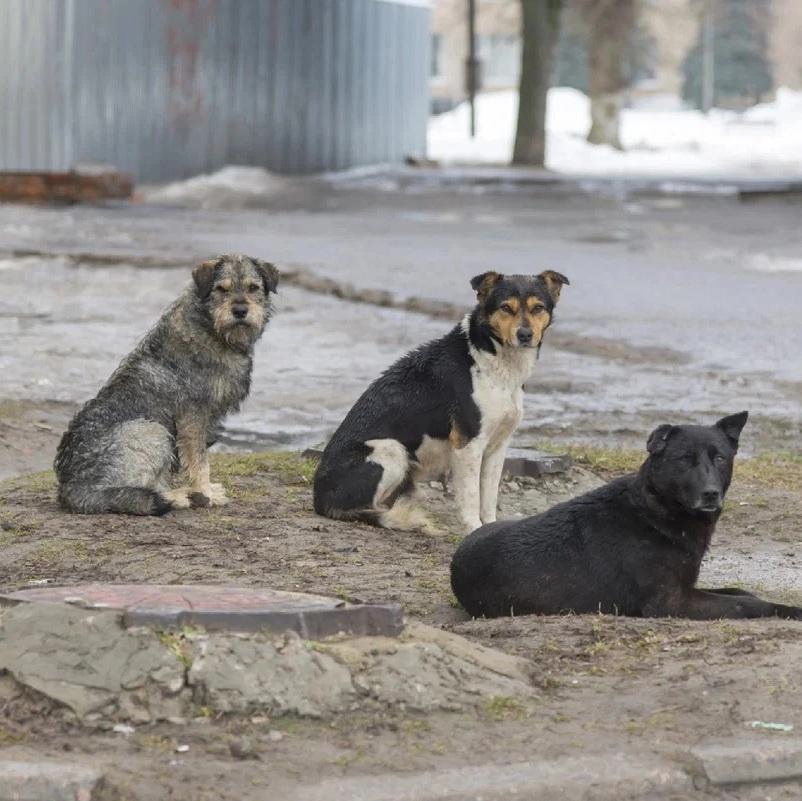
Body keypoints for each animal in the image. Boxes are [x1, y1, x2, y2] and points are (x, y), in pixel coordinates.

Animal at [54, 253, 278, 516]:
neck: (211, 330)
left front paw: (206, 490)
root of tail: (73, 489)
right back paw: (178, 497)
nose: (241, 311)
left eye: (253, 288)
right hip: (152, 430)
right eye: (221, 289)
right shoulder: (193, 416)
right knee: (128, 493)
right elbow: (199, 461)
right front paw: (207, 492)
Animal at [312, 272, 568, 536]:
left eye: (538, 308)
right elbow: (471, 496)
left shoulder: (498, 446)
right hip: (390, 449)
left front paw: (489, 527)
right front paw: (474, 528)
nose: (525, 335)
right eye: (506, 308)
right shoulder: (468, 445)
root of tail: (319, 498)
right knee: (367, 508)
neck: (491, 357)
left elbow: (489, 497)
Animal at [450, 412, 800, 624]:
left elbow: (742, 592)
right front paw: (789, 611)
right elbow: (749, 604)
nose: (711, 494)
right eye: (685, 459)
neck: (655, 511)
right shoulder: (671, 602)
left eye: (720, 459)